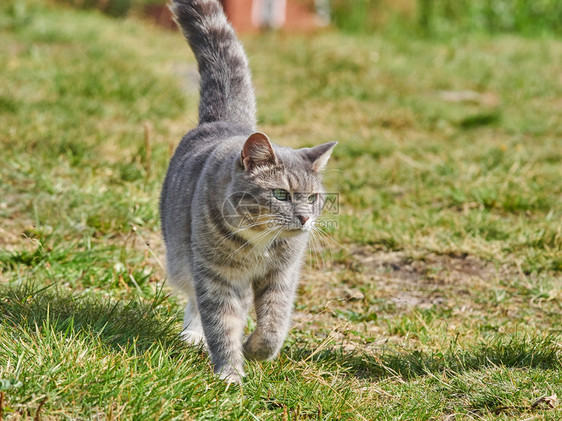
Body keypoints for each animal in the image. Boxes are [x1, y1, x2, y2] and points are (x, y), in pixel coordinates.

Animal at [160, 0, 334, 382]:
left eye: (313, 198)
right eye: (281, 194)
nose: (304, 219)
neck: (260, 242)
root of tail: (225, 121)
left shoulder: (282, 274)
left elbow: (274, 322)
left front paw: (257, 349)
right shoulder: (217, 275)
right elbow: (221, 322)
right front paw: (229, 373)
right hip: (181, 259)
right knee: (193, 298)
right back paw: (192, 334)